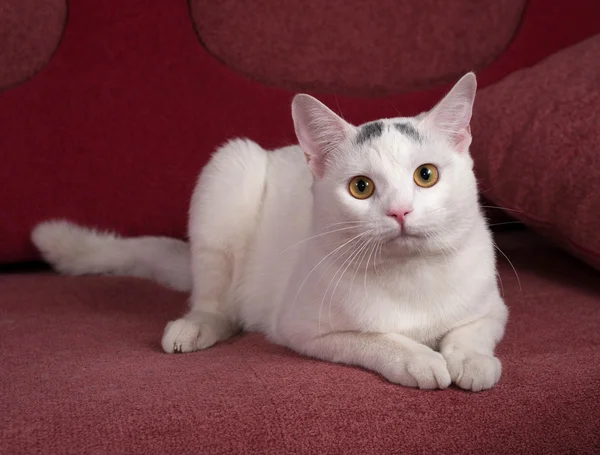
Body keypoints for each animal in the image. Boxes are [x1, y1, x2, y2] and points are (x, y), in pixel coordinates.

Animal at [32, 73, 506, 394]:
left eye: (426, 175)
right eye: (361, 187)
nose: (400, 211)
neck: (409, 276)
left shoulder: (495, 309)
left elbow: (471, 330)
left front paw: (473, 362)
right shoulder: (304, 331)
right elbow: (378, 339)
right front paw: (420, 359)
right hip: (228, 170)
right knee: (216, 304)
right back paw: (196, 328)